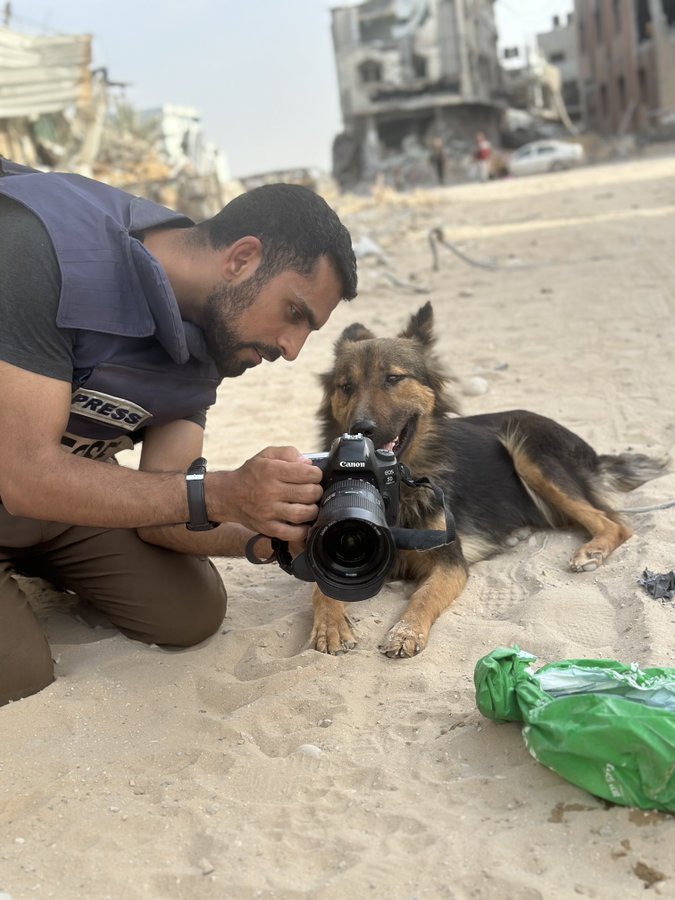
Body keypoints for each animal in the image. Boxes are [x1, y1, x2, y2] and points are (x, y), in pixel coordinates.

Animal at [308, 304, 668, 660]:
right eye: (346, 386)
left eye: (393, 378)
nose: (360, 427)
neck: (396, 488)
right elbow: (321, 589)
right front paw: (331, 626)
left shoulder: (450, 563)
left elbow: (424, 596)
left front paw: (405, 631)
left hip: (528, 450)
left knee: (614, 523)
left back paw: (592, 549)